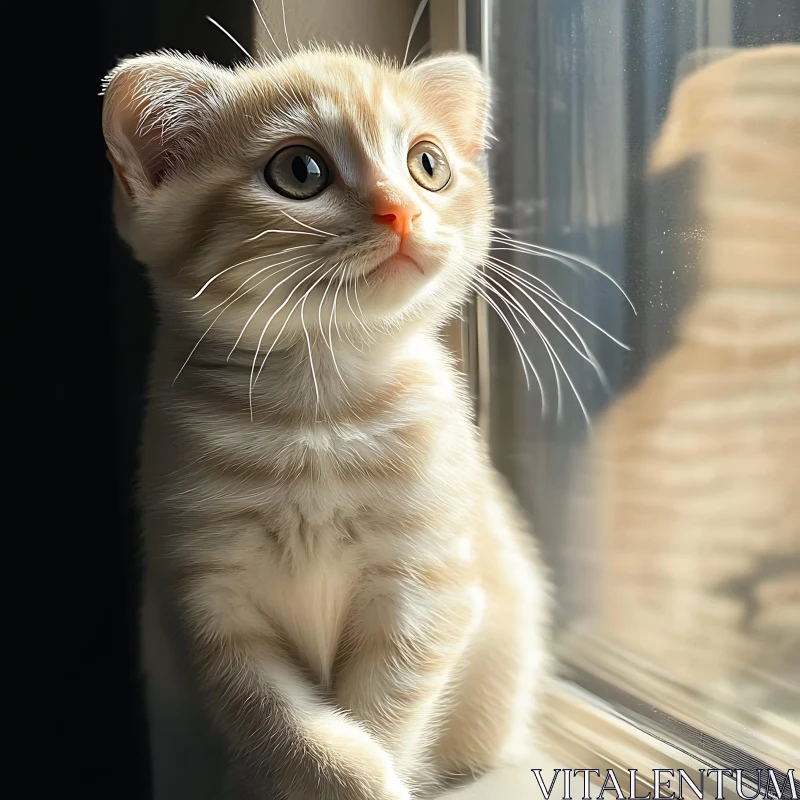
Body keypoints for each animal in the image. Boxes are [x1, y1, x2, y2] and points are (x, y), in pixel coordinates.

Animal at [101, 48, 552, 800]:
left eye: (428, 164)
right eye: (300, 171)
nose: (402, 210)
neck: (318, 411)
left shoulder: (426, 589)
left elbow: (386, 710)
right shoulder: (207, 600)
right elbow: (283, 725)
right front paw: (342, 776)